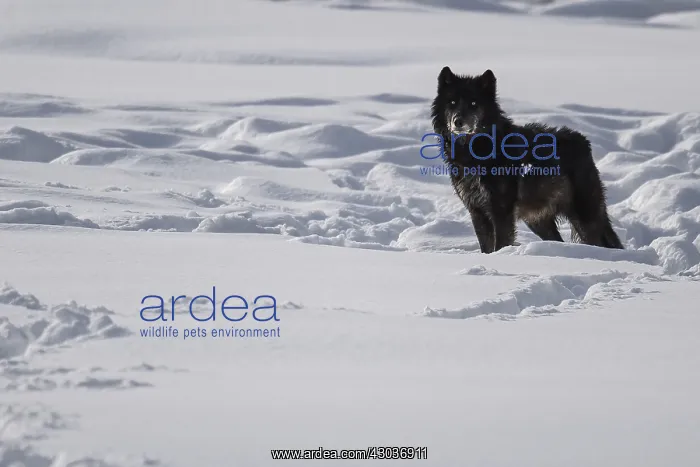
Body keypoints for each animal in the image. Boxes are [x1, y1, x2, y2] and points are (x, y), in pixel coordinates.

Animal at [430, 66, 623, 253]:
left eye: (474, 104)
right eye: (452, 102)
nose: (458, 121)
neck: (476, 149)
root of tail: (583, 141)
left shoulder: (501, 210)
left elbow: (499, 245)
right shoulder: (477, 211)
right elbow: (486, 248)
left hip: (584, 215)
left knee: (599, 242)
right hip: (538, 221)